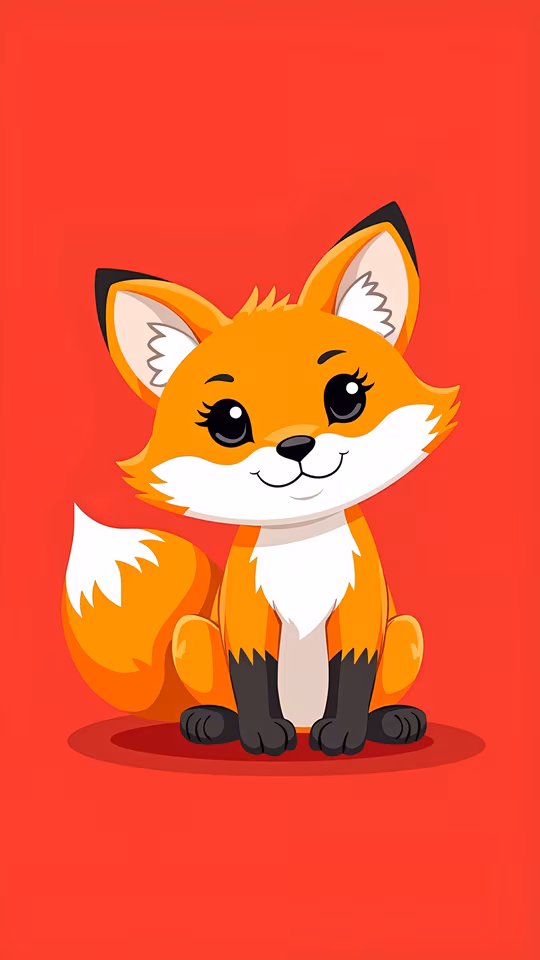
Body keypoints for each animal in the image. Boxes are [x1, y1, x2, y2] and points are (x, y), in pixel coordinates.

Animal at [62, 202, 459, 757]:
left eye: (347, 394)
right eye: (227, 422)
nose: (296, 446)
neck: (302, 548)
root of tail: (303, 721)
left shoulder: (360, 614)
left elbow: (353, 675)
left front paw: (346, 734)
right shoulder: (247, 617)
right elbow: (251, 676)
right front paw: (260, 735)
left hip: (405, 633)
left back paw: (391, 720)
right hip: (193, 634)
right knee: (217, 697)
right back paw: (210, 721)